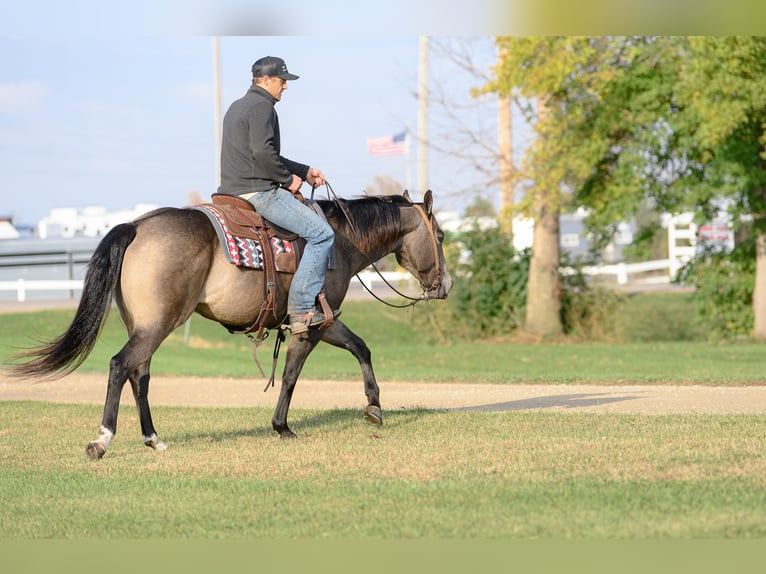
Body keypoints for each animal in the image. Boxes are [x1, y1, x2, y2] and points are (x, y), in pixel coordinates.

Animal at [8, 190, 452, 459]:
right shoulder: (311, 324)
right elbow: (291, 375)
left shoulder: (325, 321)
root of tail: (136, 226)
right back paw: (102, 440)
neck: (340, 241)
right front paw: (282, 427)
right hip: (157, 325)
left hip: (145, 326)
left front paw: (374, 407)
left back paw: (154, 439)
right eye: (442, 235)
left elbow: (361, 347)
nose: (446, 284)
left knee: (140, 375)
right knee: (121, 367)